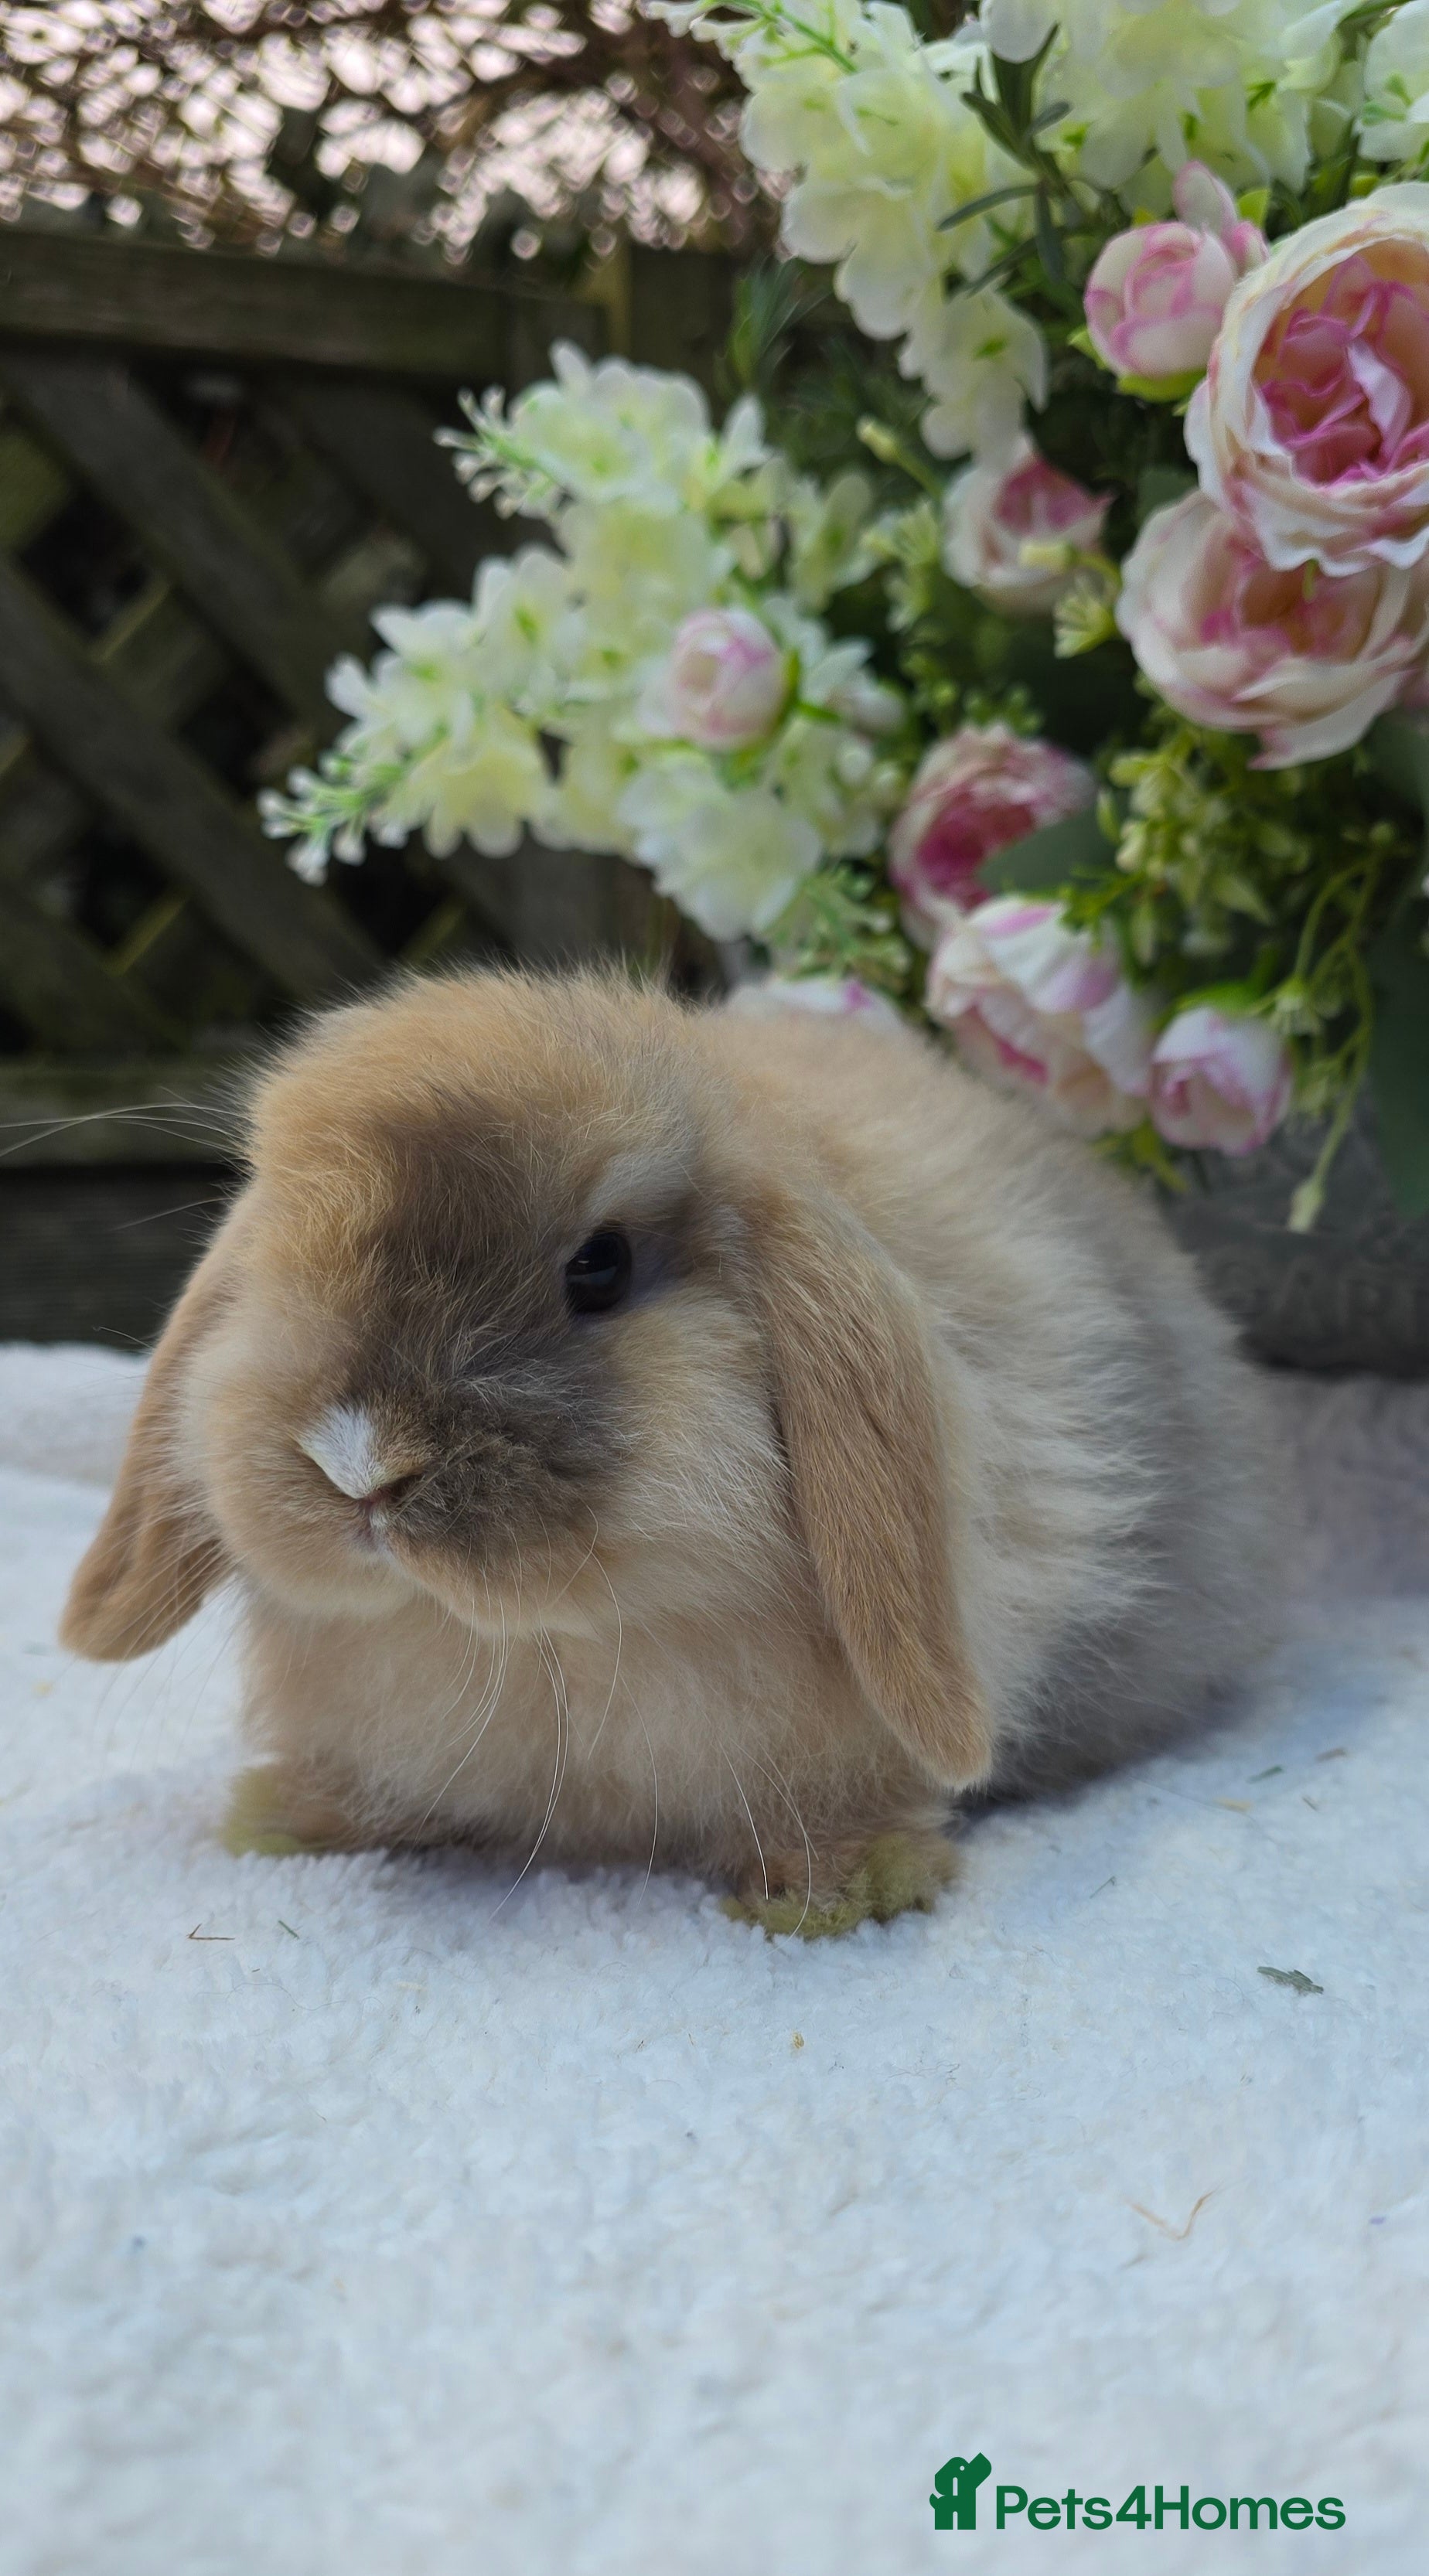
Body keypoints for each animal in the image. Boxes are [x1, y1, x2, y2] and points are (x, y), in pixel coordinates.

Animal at [61, 966, 1280, 1934]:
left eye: (599, 1266)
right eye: (282, 1257)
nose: (357, 1462)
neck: (548, 1648)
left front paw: (838, 1894)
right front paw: (284, 1824)